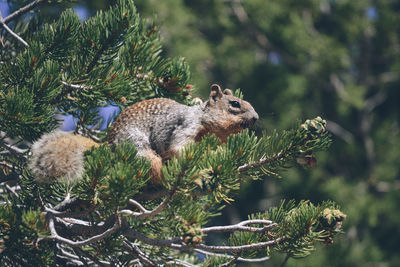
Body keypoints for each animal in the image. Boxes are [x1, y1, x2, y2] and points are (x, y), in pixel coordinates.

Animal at [29, 85, 258, 185]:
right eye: (235, 104)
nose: (256, 118)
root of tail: (108, 145)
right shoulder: (187, 126)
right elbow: (179, 148)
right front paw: (200, 174)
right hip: (137, 148)